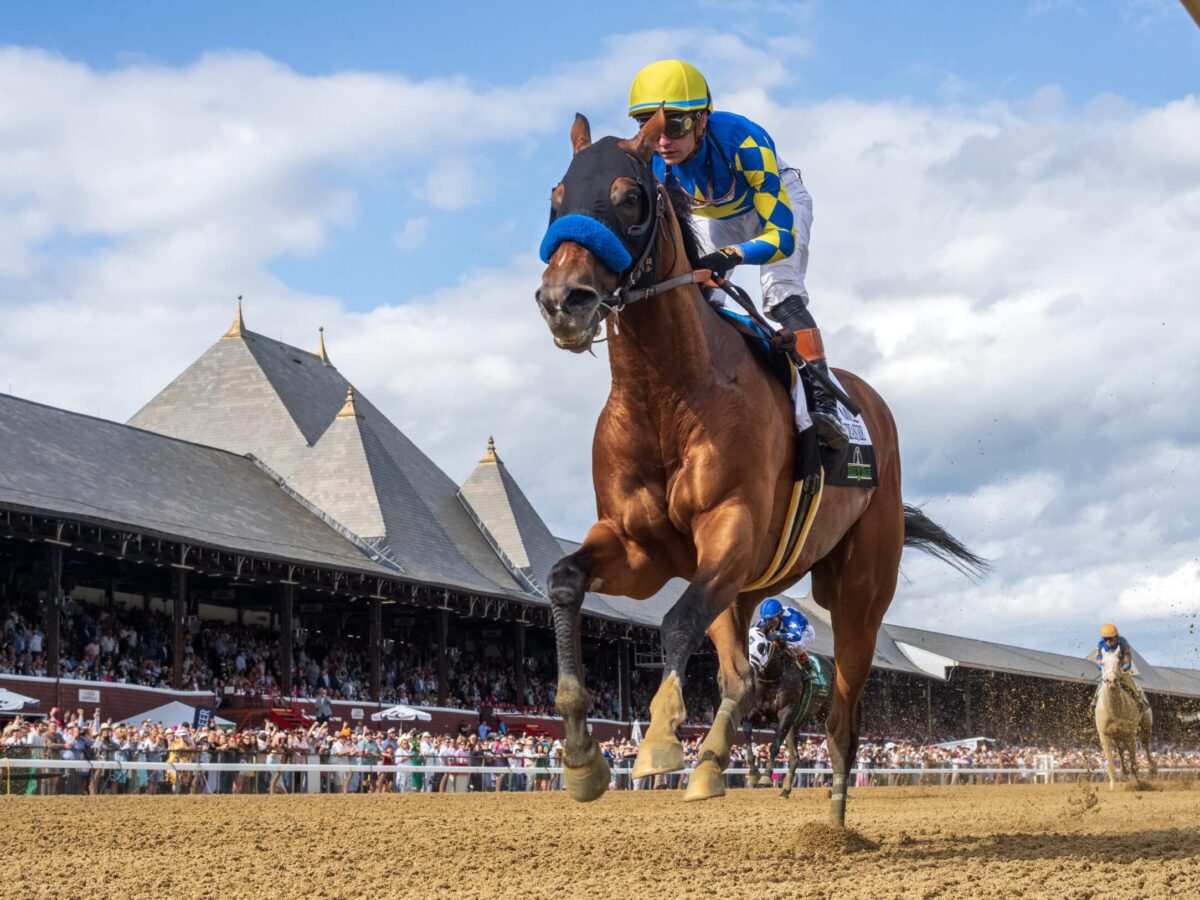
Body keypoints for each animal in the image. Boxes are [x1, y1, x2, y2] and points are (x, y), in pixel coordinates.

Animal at [739, 628, 825, 801]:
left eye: (761, 646)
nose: (749, 669)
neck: (774, 677)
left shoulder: (786, 714)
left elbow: (775, 745)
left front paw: (765, 778)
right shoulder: (762, 714)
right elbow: (747, 731)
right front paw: (754, 773)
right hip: (794, 724)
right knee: (795, 756)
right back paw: (785, 790)